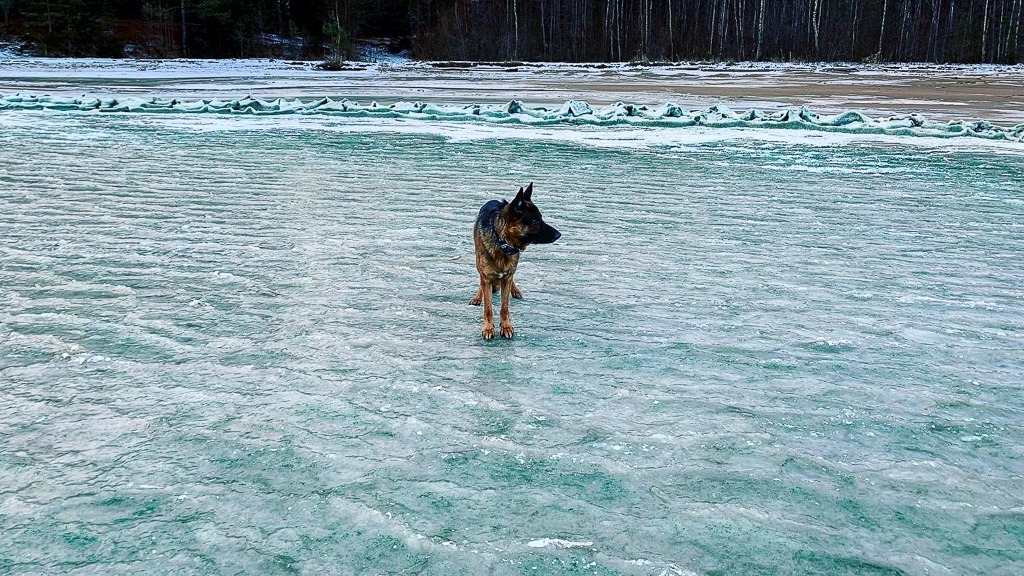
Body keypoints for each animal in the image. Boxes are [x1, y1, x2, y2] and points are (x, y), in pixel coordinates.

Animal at [468, 181, 561, 338]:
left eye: (541, 217)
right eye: (535, 220)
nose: (559, 234)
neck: (502, 243)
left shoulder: (507, 276)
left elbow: (504, 307)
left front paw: (506, 327)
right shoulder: (486, 277)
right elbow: (488, 308)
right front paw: (488, 328)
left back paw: (515, 289)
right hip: (478, 262)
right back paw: (478, 296)